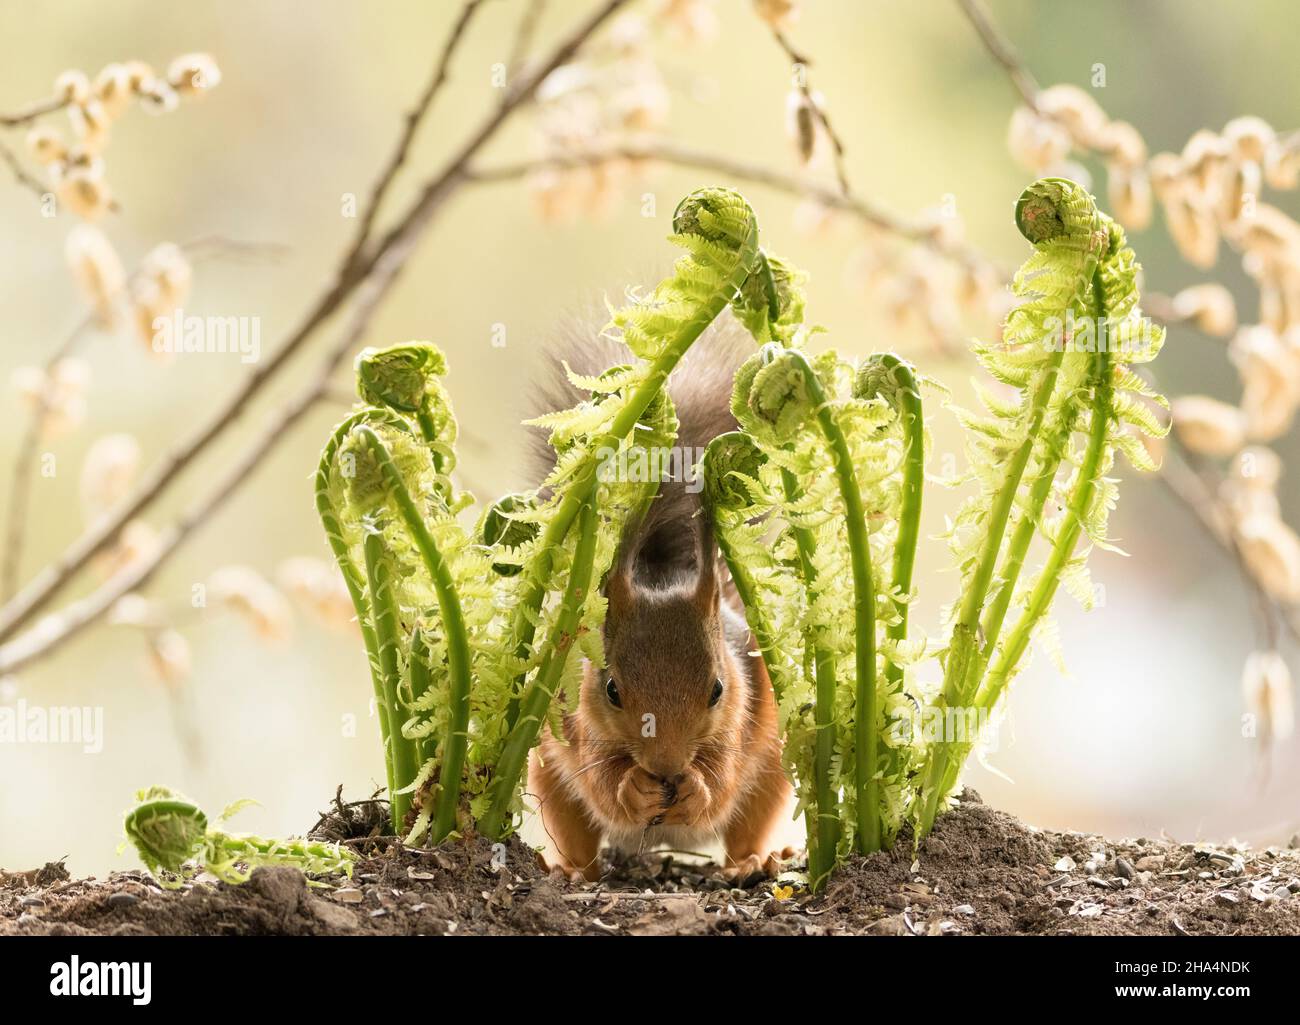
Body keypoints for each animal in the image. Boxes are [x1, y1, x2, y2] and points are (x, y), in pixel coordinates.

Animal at [524, 313, 792, 883]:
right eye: (611, 690)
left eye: (717, 689)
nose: (666, 767)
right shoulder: (581, 721)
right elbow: (605, 784)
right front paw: (634, 787)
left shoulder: (740, 710)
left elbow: (721, 783)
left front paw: (696, 791)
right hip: (546, 770)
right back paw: (571, 868)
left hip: (775, 764)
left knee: (744, 827)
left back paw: (752, 861)